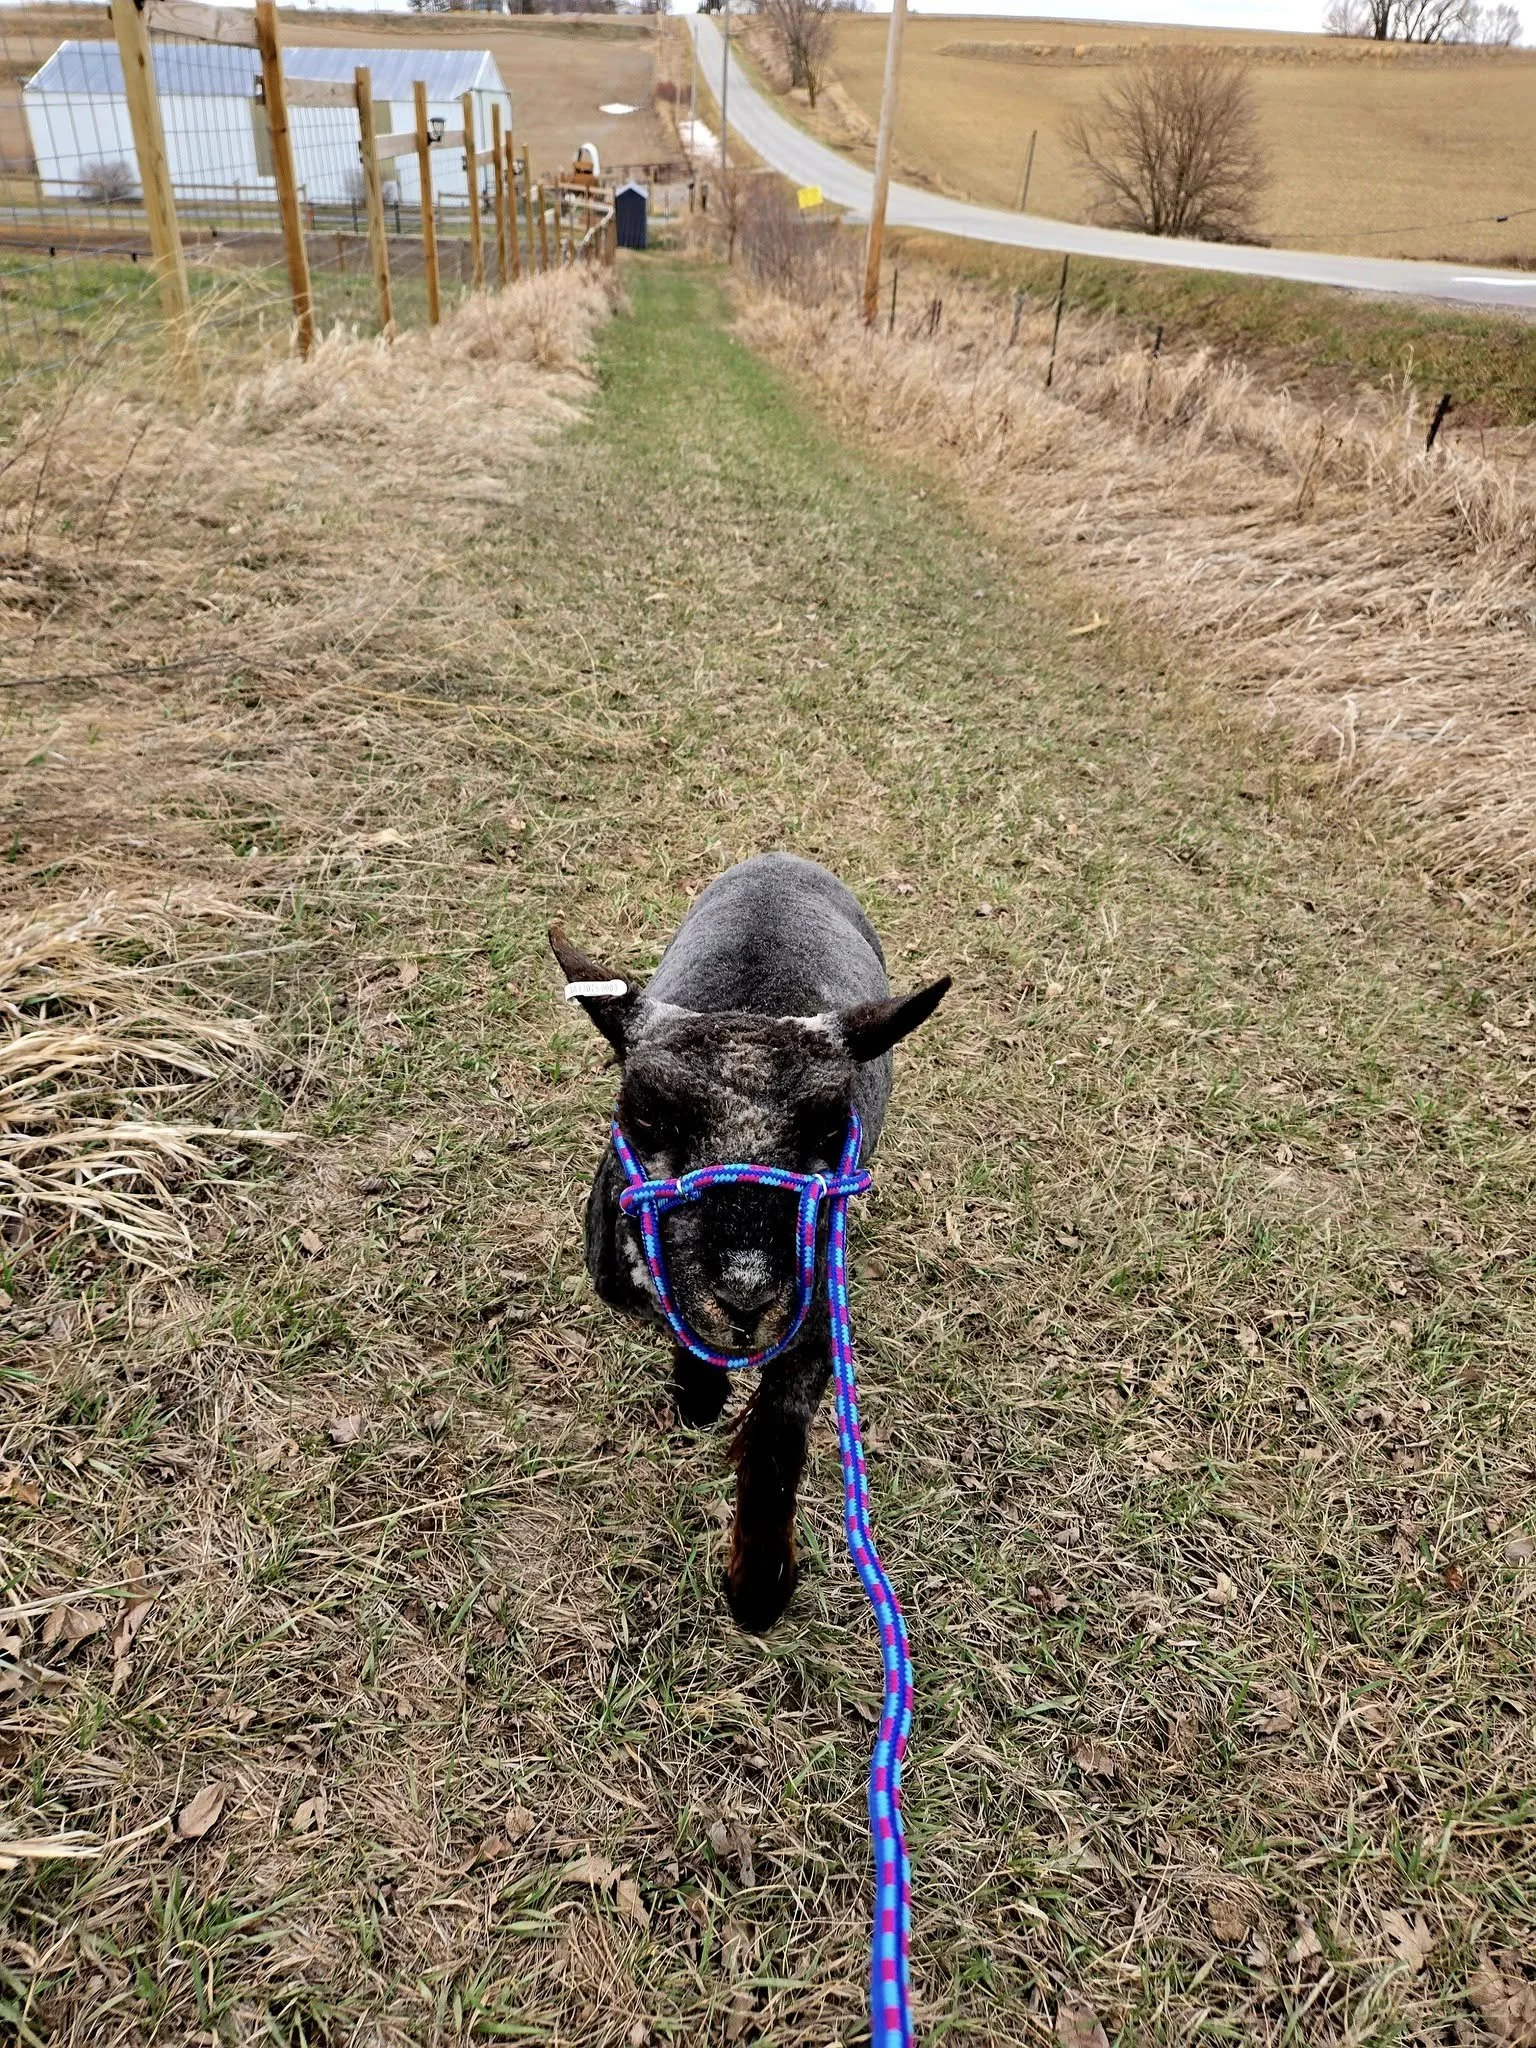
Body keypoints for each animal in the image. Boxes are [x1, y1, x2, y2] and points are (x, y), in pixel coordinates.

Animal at [552, 852, 949, 1632]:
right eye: (643, 1113)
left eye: (833, 1124)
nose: (746, 1293)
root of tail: (781, 858)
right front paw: (699, 1397)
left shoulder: (817, 1314)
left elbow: (775, 1439)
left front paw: (759, 1585)